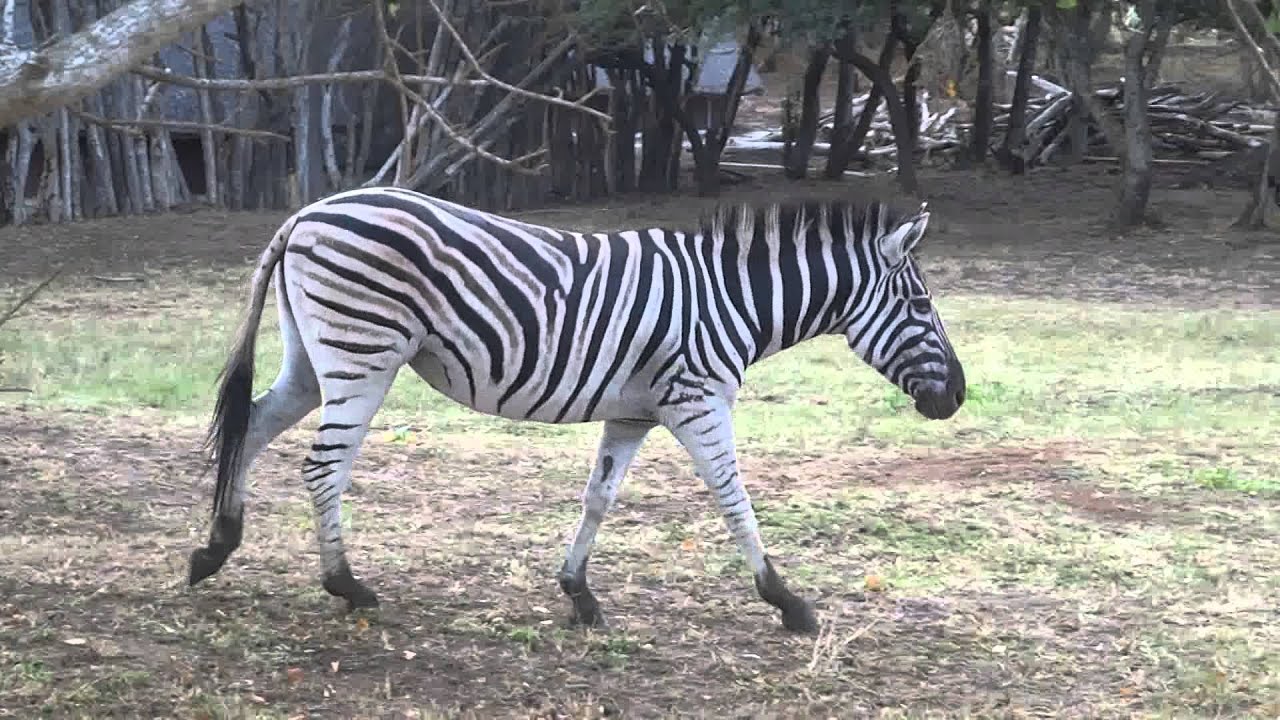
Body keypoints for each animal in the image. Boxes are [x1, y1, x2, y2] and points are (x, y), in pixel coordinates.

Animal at [187, 186, 966, 634]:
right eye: (921, 304)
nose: (958, 396)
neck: (732, 299)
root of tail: (306, 213)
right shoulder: (698, 399)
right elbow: (734, 498)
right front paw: (787, 601)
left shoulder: (634, 412)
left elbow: (600, 496)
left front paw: (578, 595)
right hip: (364, 354)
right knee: (323, 468)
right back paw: (345, 585)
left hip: (313, 360)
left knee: (251, 429)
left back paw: (216, 547)